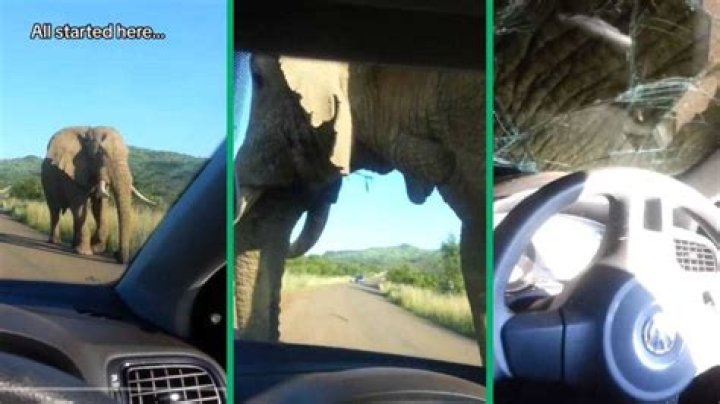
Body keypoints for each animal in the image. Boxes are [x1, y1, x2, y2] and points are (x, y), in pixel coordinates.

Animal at [41, 126, 155, 264]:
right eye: (101, 152)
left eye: (127, 154)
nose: (116, 254)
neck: (89, 132)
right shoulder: (71, 172)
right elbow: (80, 207)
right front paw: (85, 253)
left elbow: (99, 207)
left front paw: (96, 248)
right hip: (46, 182)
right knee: (55, 210)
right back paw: (55, 242)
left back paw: (73, 246)